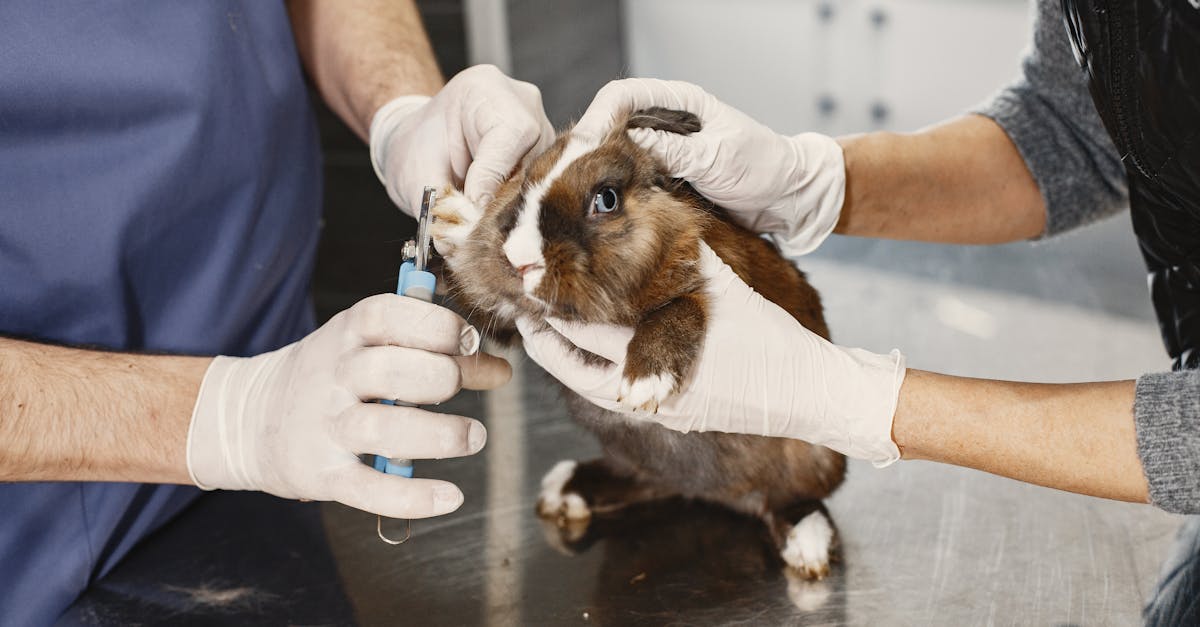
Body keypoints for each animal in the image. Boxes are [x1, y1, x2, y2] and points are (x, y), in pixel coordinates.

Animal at [429, 106, 844, 576]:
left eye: (606, 199)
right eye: (524, 184)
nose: (519, 259)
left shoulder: (713, 283)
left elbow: (682, 309)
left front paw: (645, 383)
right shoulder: (511, 323)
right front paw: (454, 219)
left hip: (814, 457)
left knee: (787, 500)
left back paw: (808, 544)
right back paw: (566, 490)